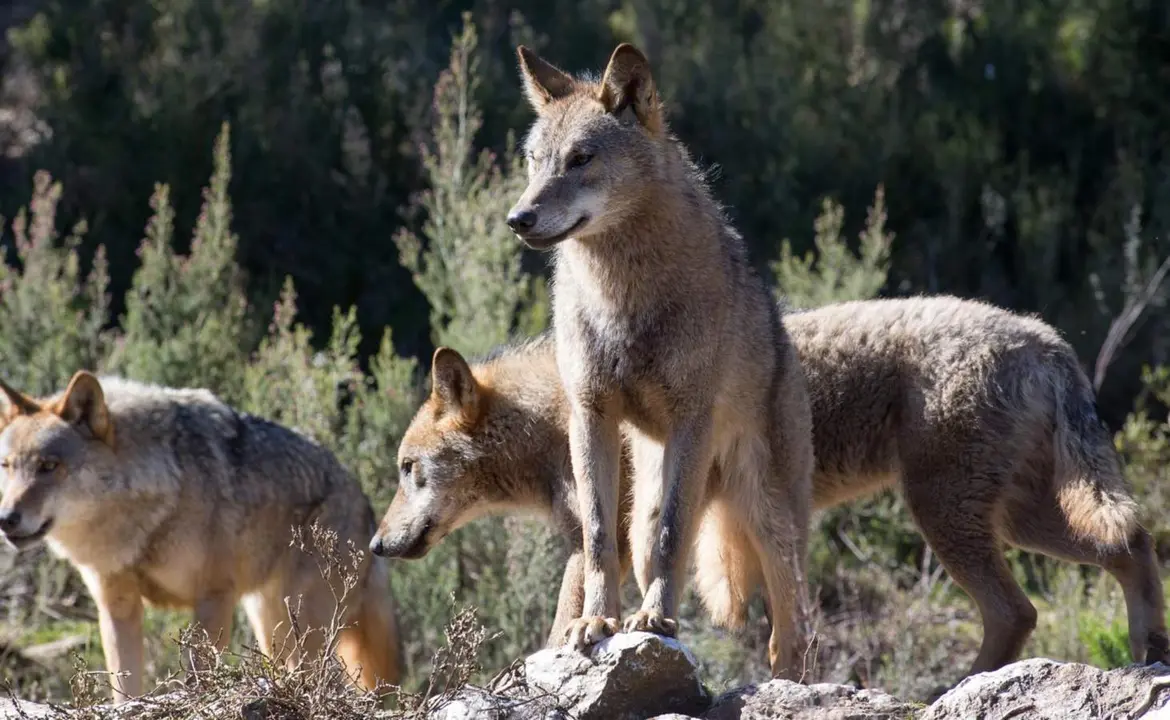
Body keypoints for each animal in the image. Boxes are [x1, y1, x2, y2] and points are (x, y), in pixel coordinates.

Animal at [0, 371, 401, 703]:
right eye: (6, 466)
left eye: (49, 466)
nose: (6, 519)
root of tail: (365, 504)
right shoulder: (117, 608)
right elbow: (125, 689)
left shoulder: (214, 598)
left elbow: (201, 678)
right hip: (272, 628)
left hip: (303, 632)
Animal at [371, 294, 1169, 681]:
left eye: (408, 471)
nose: (376, 544)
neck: (556, 415)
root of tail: (1046, 337)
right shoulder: (602, 543)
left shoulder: (607, 542)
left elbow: (567, 622)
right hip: (1018, 520)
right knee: (1127, 546)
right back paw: (1146, 650)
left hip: (952, 518)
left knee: (1019, 607)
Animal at [502, 42, 816, 679]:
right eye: (535, 161)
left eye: (581, 159)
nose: (518, 220)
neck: (622, 297)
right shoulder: (590, 416)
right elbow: (598, 538)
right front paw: (595, 623)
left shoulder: (692, 416)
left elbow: (675, 536)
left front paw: (653, 621)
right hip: (650, 502)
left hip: (770, 521)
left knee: (790, 635)